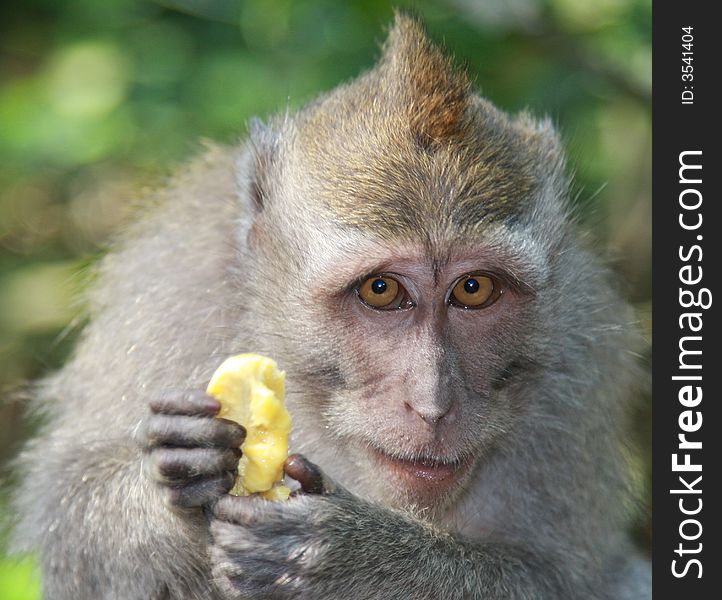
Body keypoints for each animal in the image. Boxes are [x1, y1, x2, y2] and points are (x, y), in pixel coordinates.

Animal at [8, 12, 648, 600]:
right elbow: (68, 516)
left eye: (474, 290)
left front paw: (351, 560)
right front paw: (179, 475)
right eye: (381, 290)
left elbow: (563, 577)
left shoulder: (578, 353)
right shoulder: (169, 284)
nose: (433, 405)